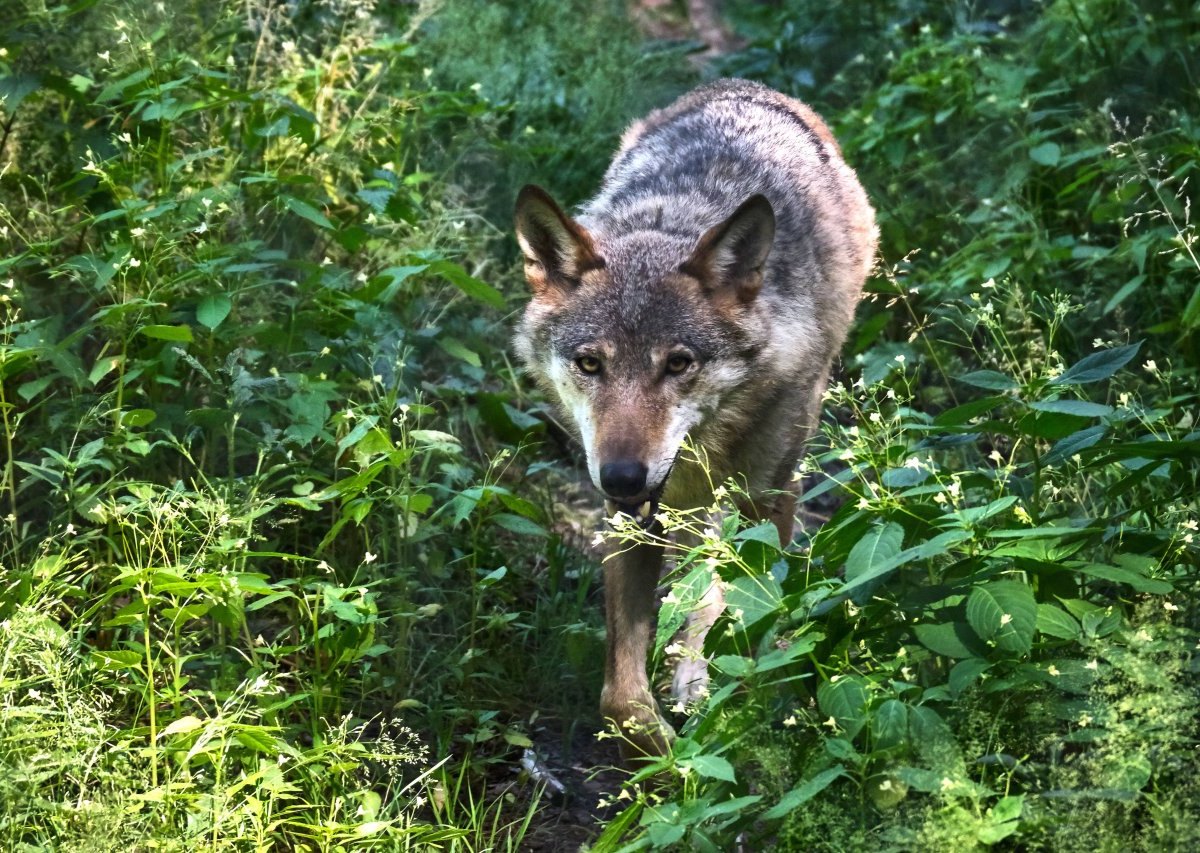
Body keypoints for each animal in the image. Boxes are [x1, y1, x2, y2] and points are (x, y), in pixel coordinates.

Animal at [511, 78, 878, 763]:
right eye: (590, 363)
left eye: (678, 363)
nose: (623, 476)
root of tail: (745, 88)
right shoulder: (629, 519)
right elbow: (621, 698)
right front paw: (667, 760)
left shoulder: (765, 497)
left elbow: (750, 617)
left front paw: (733, 711)